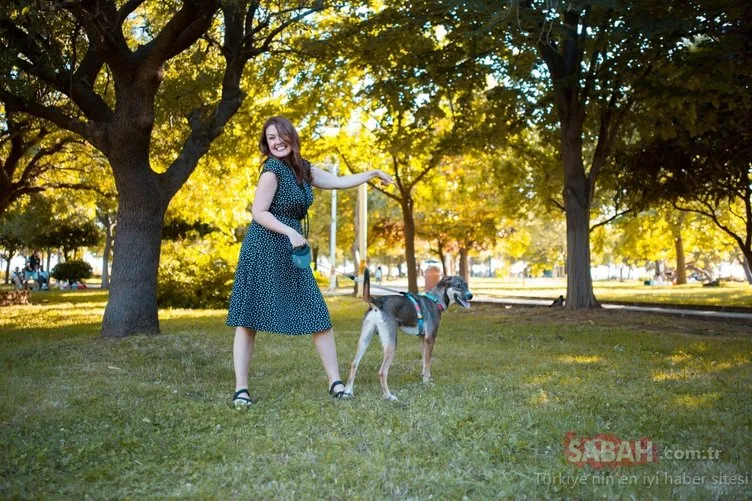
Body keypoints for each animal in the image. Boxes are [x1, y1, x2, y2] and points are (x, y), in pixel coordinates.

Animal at [344, 268, 472, 400]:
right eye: (458, 286)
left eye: (466, 285)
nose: (470, 295)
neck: (435, 300)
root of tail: (377, 302)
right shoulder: (430, 338)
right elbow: (427, 362)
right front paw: (426, 383)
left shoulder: (422, 339)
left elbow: (425, 361)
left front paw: (425, 378)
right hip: (391, 344)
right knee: (382, 372)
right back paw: (389, 396)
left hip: (365, 339)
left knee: (354, 364)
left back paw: (347, 392)